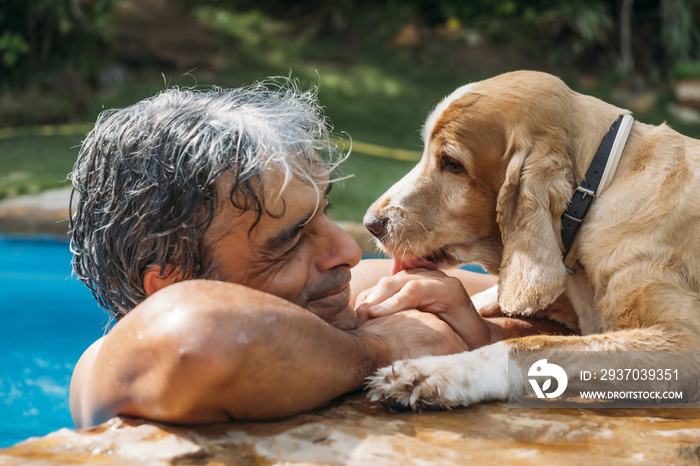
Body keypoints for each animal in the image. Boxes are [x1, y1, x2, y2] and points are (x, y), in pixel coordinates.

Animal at [360, 70, 700, 412]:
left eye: (452, 163)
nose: (371, 224)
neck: (602, 184)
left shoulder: (684, 343)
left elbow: (530, 345)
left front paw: (430, 373)